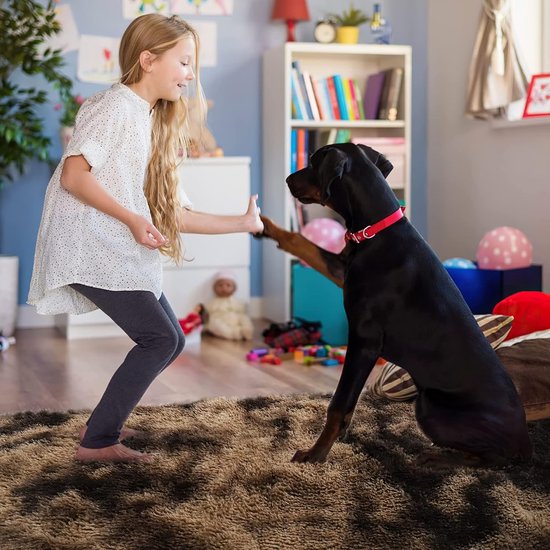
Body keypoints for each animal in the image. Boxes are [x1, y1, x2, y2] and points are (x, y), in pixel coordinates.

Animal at [264, 143, 536, 470]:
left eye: (315, 163)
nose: (288, 179)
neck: (375, 229)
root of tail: (525, 442)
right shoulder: (343, 270)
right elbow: (301, 242)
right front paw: (266, 226)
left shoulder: (364, 340)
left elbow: (338, 404)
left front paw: (315, 454)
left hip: (430, 406)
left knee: (491, 458)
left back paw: (436, 456)